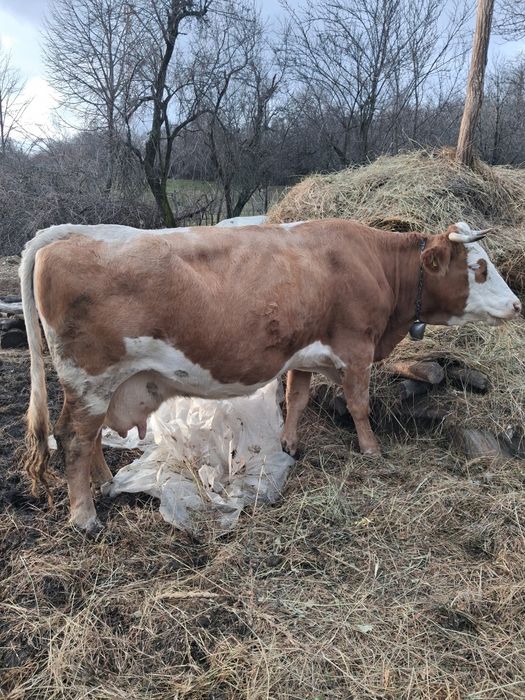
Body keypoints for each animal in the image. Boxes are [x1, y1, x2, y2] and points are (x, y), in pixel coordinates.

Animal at [20, 219, 521, 533]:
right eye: (479, 268)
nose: (517, 304)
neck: (374, 264)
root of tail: (68, 235)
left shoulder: (302, 352)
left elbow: (296, 398)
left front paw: (290, 445)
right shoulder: (356, 347)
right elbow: (359, 404)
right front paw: (372, 450)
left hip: (102, 387)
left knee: (90, 438)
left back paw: (106, 483)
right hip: (90, 379)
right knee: (74, 438)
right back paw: (85, 517)